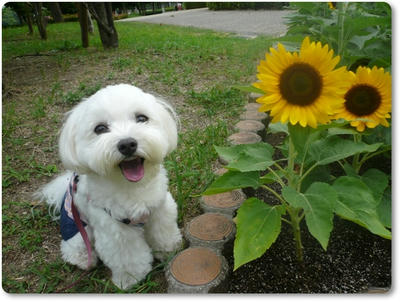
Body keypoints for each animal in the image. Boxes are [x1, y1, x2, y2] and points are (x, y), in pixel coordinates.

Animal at [35, 84, 182, 290]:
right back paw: (83, 259)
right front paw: (130, 280)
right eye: (100, 128)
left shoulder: (160, 209)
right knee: (74, 246)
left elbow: (163, 234)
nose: (127, 144)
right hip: (76, 228)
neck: (130, 187)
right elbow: (127, 257)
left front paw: (169, 251)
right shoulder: (114, 230)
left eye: (141, 118)